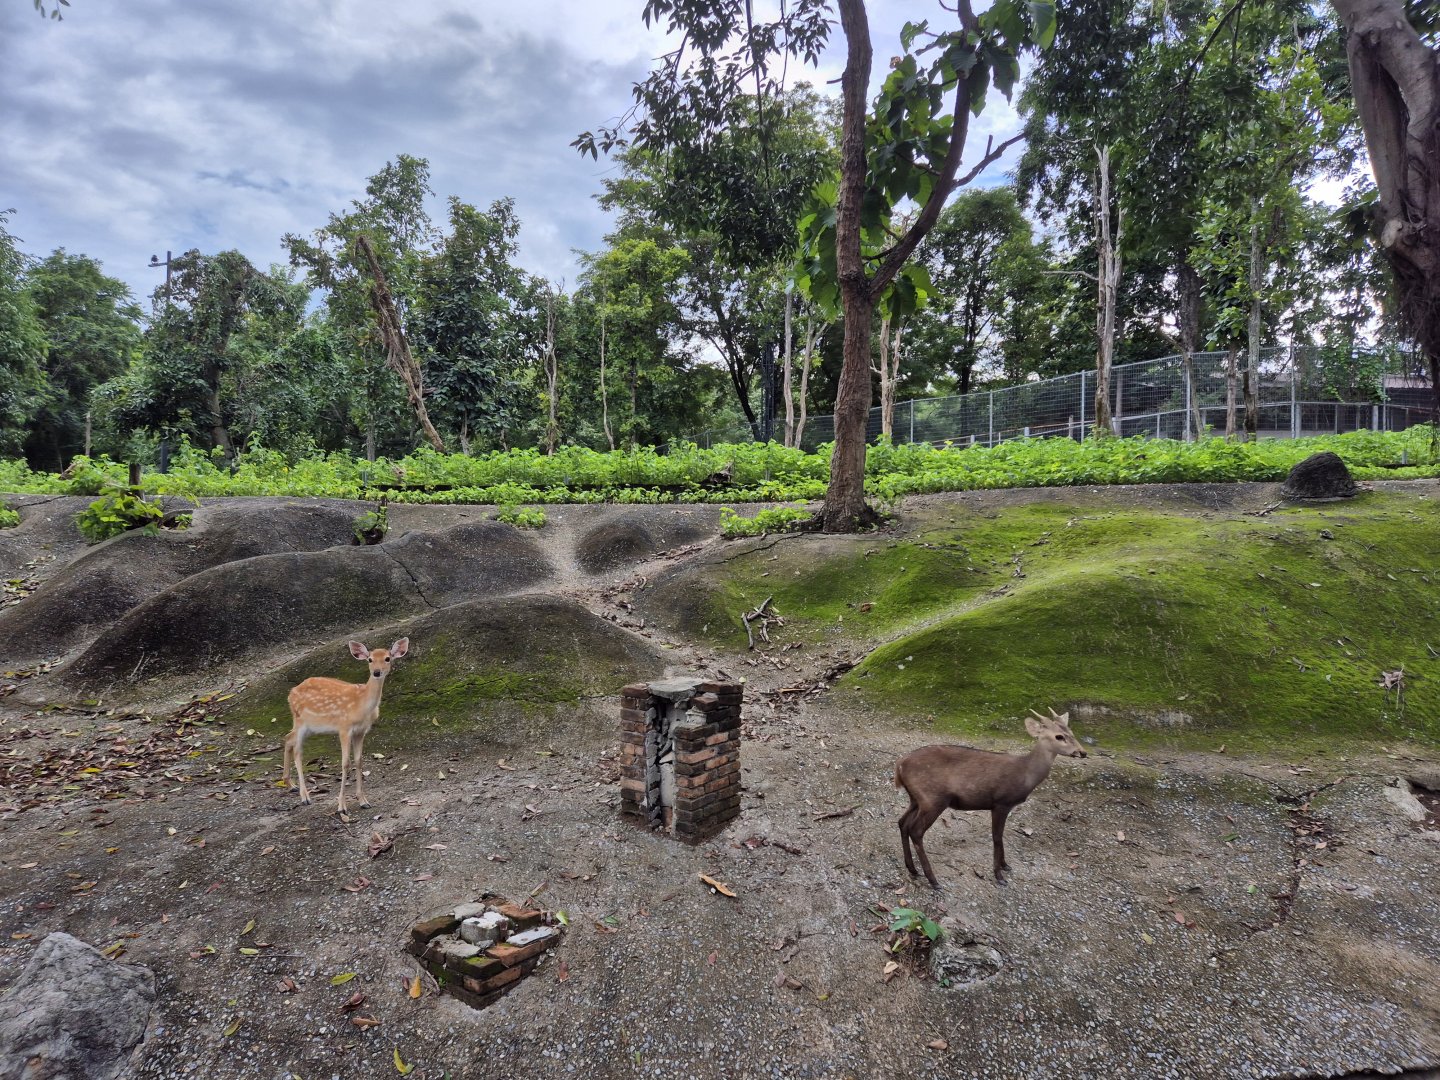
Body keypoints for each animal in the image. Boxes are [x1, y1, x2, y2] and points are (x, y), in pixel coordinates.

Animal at [281, 638, 409, 814]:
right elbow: (345, 763)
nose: (376, 672)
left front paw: (363, 801)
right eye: (370, 659)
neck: (361, 705)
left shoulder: (361, 731)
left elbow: (359, 761)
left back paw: (290, 784)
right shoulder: (344, 727)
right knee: (298, 751)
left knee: (288, 738)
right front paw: (341, 806)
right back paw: (305, 796)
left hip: (309, 726)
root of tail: (290, 693)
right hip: (300, 720)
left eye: (387, 658)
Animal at [895, 708, 1086, 888]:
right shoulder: (1001, 802)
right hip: (933, 798)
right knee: (916, 831)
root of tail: (900, 765)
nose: (1082, 752)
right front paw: (999, 876)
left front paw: (1005, 865)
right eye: (1059, 736)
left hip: (916, 799)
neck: (1025, 774)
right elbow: (997, 837)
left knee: (903, 823)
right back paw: (933, 880)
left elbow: (1000, 837)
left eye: (1072, 732)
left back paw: (912, 869)